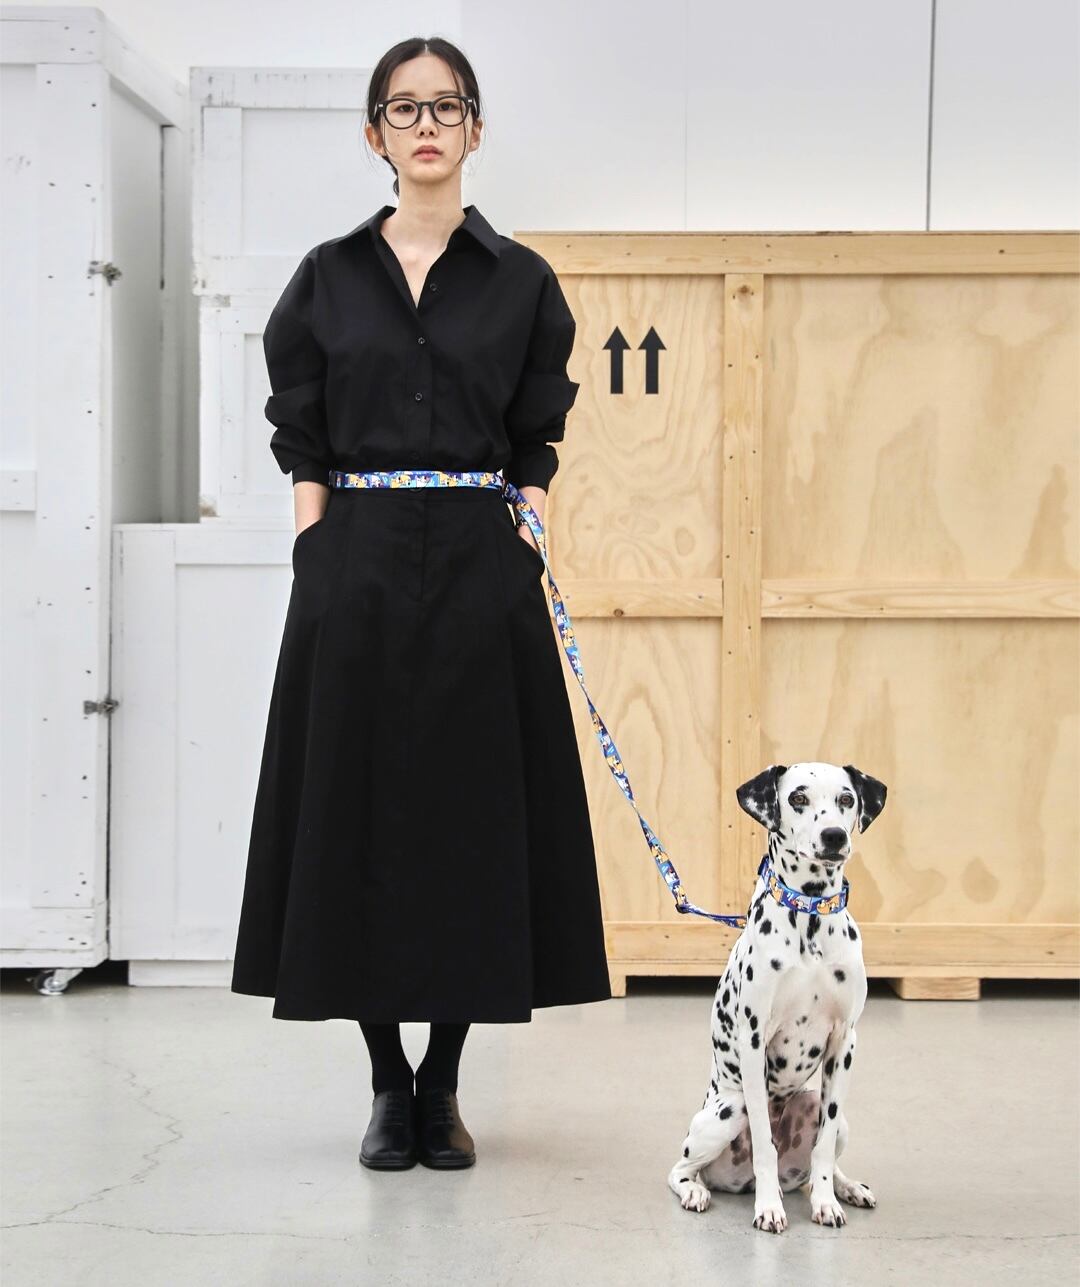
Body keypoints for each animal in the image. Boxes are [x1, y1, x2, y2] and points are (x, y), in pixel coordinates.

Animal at [666, 761, 887, 1232]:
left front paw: (827, 1202)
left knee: (826, 1153)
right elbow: (765, 1145)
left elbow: (822, 1146)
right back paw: (696, 1190)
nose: (833, 836)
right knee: (682, 1167)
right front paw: (768, 1207)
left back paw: (847, 1187)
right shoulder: (753, 1039)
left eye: (846, 799)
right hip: (727, 1111)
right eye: (798, 798)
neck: (809, 917)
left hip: (821, 1106)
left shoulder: (844, 1041)